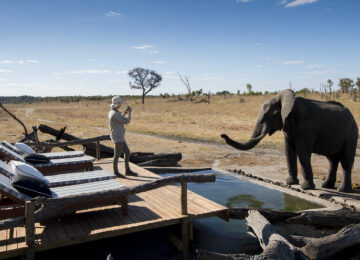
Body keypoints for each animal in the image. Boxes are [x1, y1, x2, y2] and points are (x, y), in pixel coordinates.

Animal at [221, 90, 358, 193]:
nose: (223, 135)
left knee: (345, 161)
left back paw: (342, 190)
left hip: (351, 134)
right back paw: (326, 186)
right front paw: (291, 183)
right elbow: (289, 150)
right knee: (332, 160)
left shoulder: (305, 125)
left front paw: (306, 188)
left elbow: (302, 153)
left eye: (268, 116)